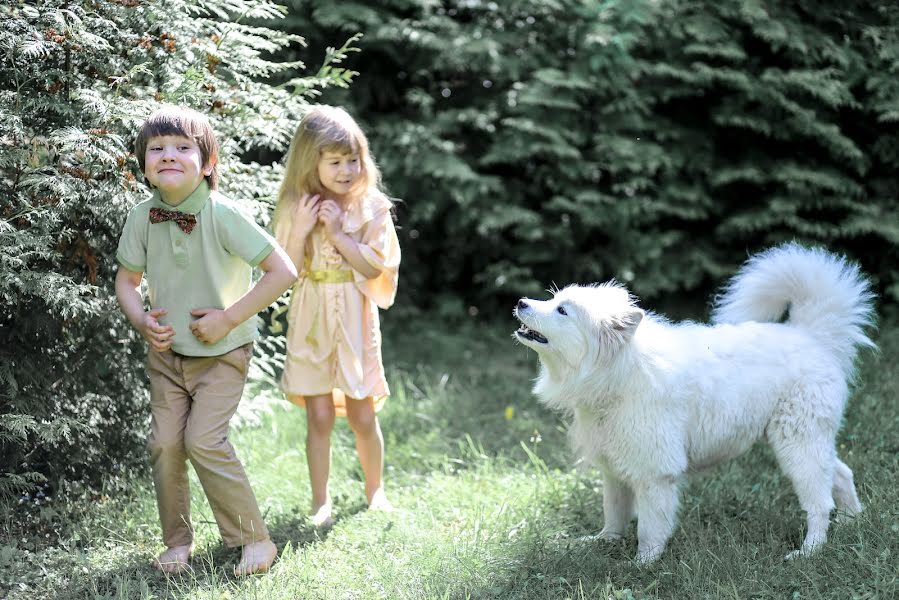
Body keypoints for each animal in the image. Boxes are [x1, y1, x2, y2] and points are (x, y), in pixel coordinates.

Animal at [516, 243, 876, 564]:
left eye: (563, 311)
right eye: (553, 299)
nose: (520, 301)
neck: (618, 372)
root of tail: (813, 336)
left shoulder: (655, 472)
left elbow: (650, 528)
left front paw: (643, 564)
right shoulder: (615, 467)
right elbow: (614, 513)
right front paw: (603, 542)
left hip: (798, 445)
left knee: (820, 502)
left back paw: (809, 550)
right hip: (809, 440)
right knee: (841, 474)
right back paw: (854, 521)